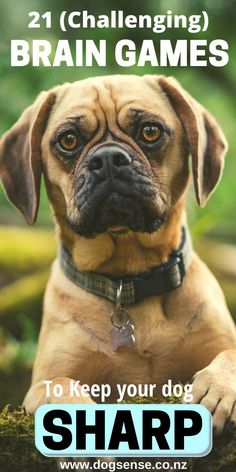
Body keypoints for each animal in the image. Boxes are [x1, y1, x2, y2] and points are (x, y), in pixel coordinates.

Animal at [0, 75, 236, 434]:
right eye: (68, 140)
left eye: (150, 132)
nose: (109, 158)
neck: (128, 278)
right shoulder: (43, 382)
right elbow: (61, 386)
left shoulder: (220, 342)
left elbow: (230, 356)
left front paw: (218, 385)